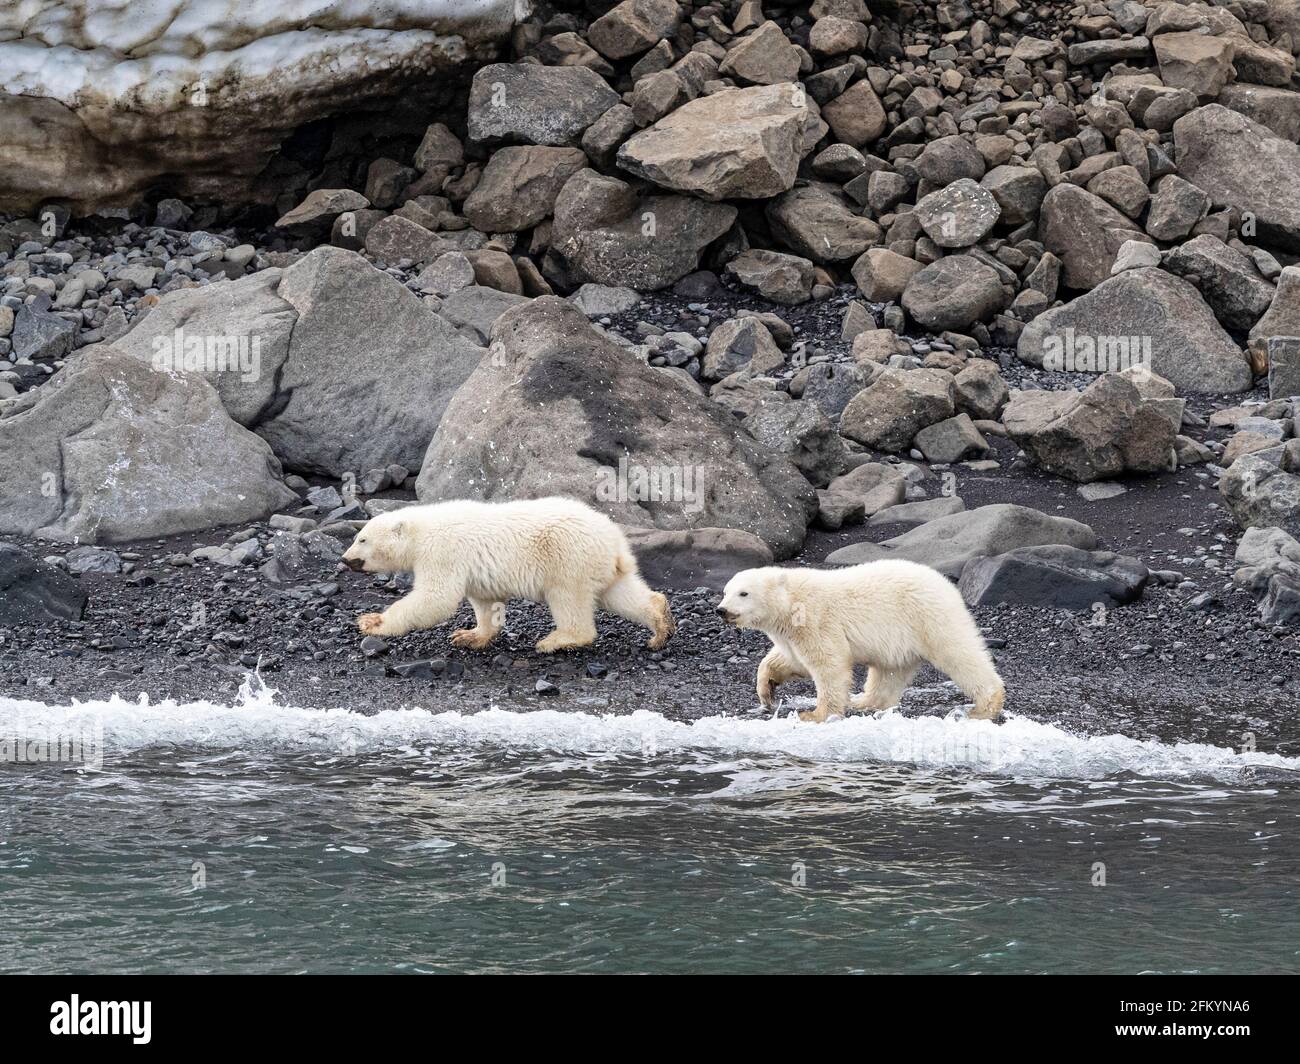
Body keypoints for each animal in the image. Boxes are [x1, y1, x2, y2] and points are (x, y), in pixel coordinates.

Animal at [340, 494, 676, 650]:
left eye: (362, 539)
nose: (344, 559)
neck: (420, 531)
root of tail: (615, 539)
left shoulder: (442, 552)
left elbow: (436, 597)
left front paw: (372, 622)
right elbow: (484, 601)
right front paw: (470, 635)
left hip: (568, 557)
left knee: (568, 597)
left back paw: (556, 640)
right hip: (601, 563)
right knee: (620, 593)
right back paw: (659, 626)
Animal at [712, 556, 1003, 723]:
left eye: (744, 593)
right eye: (726, 591)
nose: (721, 610)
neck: (791, 603)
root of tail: (947, 584)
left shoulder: (816, 620)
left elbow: (828, 664)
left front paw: (815, 714)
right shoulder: (792, 632)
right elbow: (790, 660)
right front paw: (767, 690)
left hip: (928, 617)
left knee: (959, 653)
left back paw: (984, 706)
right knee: (888, 673)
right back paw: (863, 702)